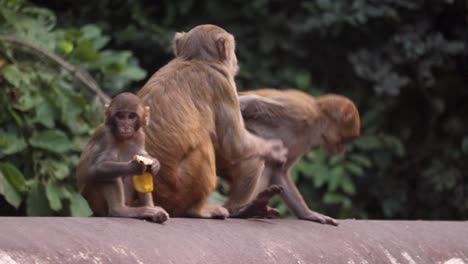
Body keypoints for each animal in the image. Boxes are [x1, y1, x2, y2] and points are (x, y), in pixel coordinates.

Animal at [77, 93, 170, 223]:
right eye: (120, 116)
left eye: (131, 116)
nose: (125, 126)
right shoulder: (107, 136)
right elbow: (98, 168)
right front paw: (134, 166)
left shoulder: (140, 136)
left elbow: (143, 155)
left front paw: (155, 164)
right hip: (96, 201)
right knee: (106, 175)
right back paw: (120, 210)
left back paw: (151, 209)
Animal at [137, 24, 288, 219]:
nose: (235, 60)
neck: (195, 59)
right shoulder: (222, 84)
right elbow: (235, 145)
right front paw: (273, 149)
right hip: (179, 189)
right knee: (224, 151)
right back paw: (220, 210)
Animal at [239, 88, 360, 225]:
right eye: (346, 141)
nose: (342, 151)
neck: (318, 122)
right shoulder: (300, 110)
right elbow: (250, 102)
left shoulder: (303, 142)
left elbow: (278, 170)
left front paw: (308, 214)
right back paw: (242, 210)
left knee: (268, 166)